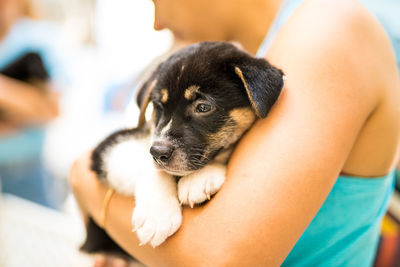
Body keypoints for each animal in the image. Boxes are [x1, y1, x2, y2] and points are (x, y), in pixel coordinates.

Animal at [79, 42, 282, 258]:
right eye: (158, 106)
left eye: (203, 107)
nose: (158, 152)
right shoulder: (111, 149)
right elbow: (152, 169)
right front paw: (157, 215)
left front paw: (198, 179)